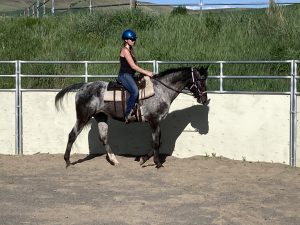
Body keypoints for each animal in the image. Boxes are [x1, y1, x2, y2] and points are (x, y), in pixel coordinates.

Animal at [55, 66, 209, 168]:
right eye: (200, 80)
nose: (205, 100)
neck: (161, 90)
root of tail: (83, 86)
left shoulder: (156, 122)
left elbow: (158, 141)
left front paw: (144, 159)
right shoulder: (154, 120)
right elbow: (156, 142)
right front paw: (157, 163)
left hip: (101, 117)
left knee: (103, 138)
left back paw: (114, 160)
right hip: (83, 117)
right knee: (72, 135)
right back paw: (67, 161)